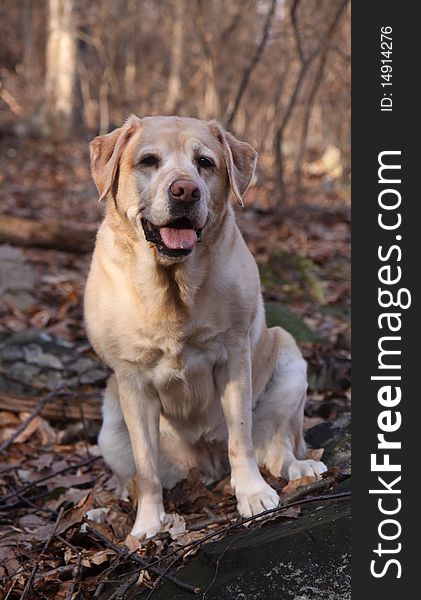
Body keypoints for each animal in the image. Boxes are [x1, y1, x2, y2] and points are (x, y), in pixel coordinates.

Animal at [83, 113, 326, 540]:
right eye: (149, 161)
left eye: (205, 163)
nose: (185, 191)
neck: (172, 286)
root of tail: (207, 465)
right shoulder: (131, 381)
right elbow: (147, 470)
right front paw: (147, 526)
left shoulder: (234, 356)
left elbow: (241, 438)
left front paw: (252, 493)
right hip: (110, 422)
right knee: (138, 475)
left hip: (290, 362)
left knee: (277, 447)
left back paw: (301, 468)